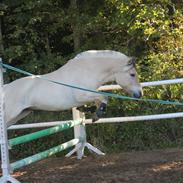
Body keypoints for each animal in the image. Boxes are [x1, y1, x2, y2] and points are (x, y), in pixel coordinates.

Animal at [3, 50, 142, 126]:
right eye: (132, 74)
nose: (140, 94)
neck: (87, 70)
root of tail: (6, 88)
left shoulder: (88, 96)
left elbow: (97, 101)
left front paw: (91, 110)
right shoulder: (82, 95)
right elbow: (104, 97)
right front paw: (97, 115)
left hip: (21, 114)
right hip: (11, 115)